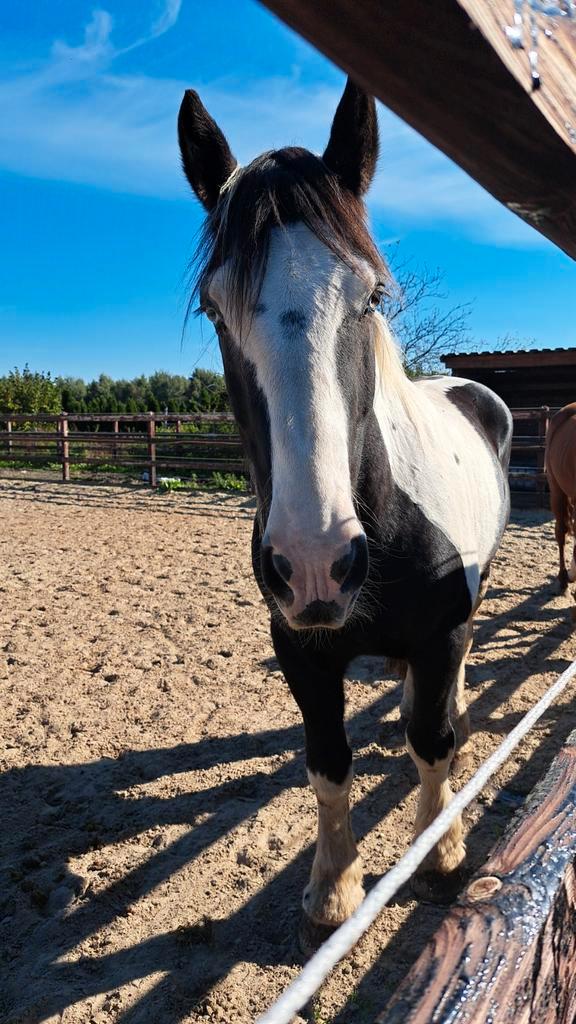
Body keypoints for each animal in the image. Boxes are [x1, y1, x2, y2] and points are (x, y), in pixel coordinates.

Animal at [177, 78, 513, 945]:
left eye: (370, 296)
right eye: (216, 309)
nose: (316, 562)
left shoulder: (442, 632)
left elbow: (432, 746)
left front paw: (442, 853)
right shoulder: (300, 647)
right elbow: (327, 763)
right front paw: (331, 893)